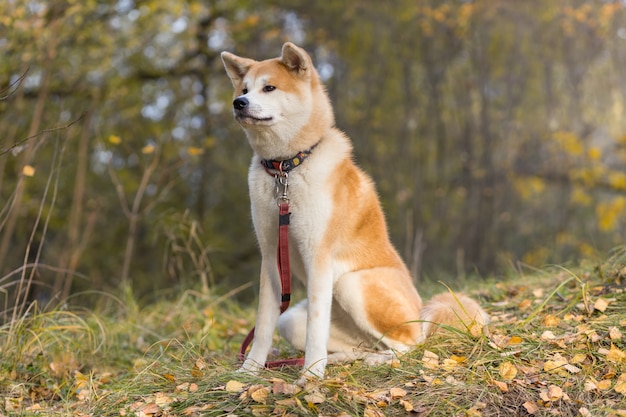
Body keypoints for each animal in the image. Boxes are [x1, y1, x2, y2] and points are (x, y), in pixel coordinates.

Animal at [221, 43, 488, 380]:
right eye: (244, 89)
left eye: (269, 88)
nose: (238, 103)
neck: (287, 169)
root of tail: (420, 314)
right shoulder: (271, 259)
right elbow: (264, 325)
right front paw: (249, 371)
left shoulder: (318, 256)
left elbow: (316, 328)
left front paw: (310, 377)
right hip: (294, 319)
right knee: (367, 345)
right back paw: (344, 358)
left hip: (350, 284)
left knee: (410, 345)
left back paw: (375, 360)